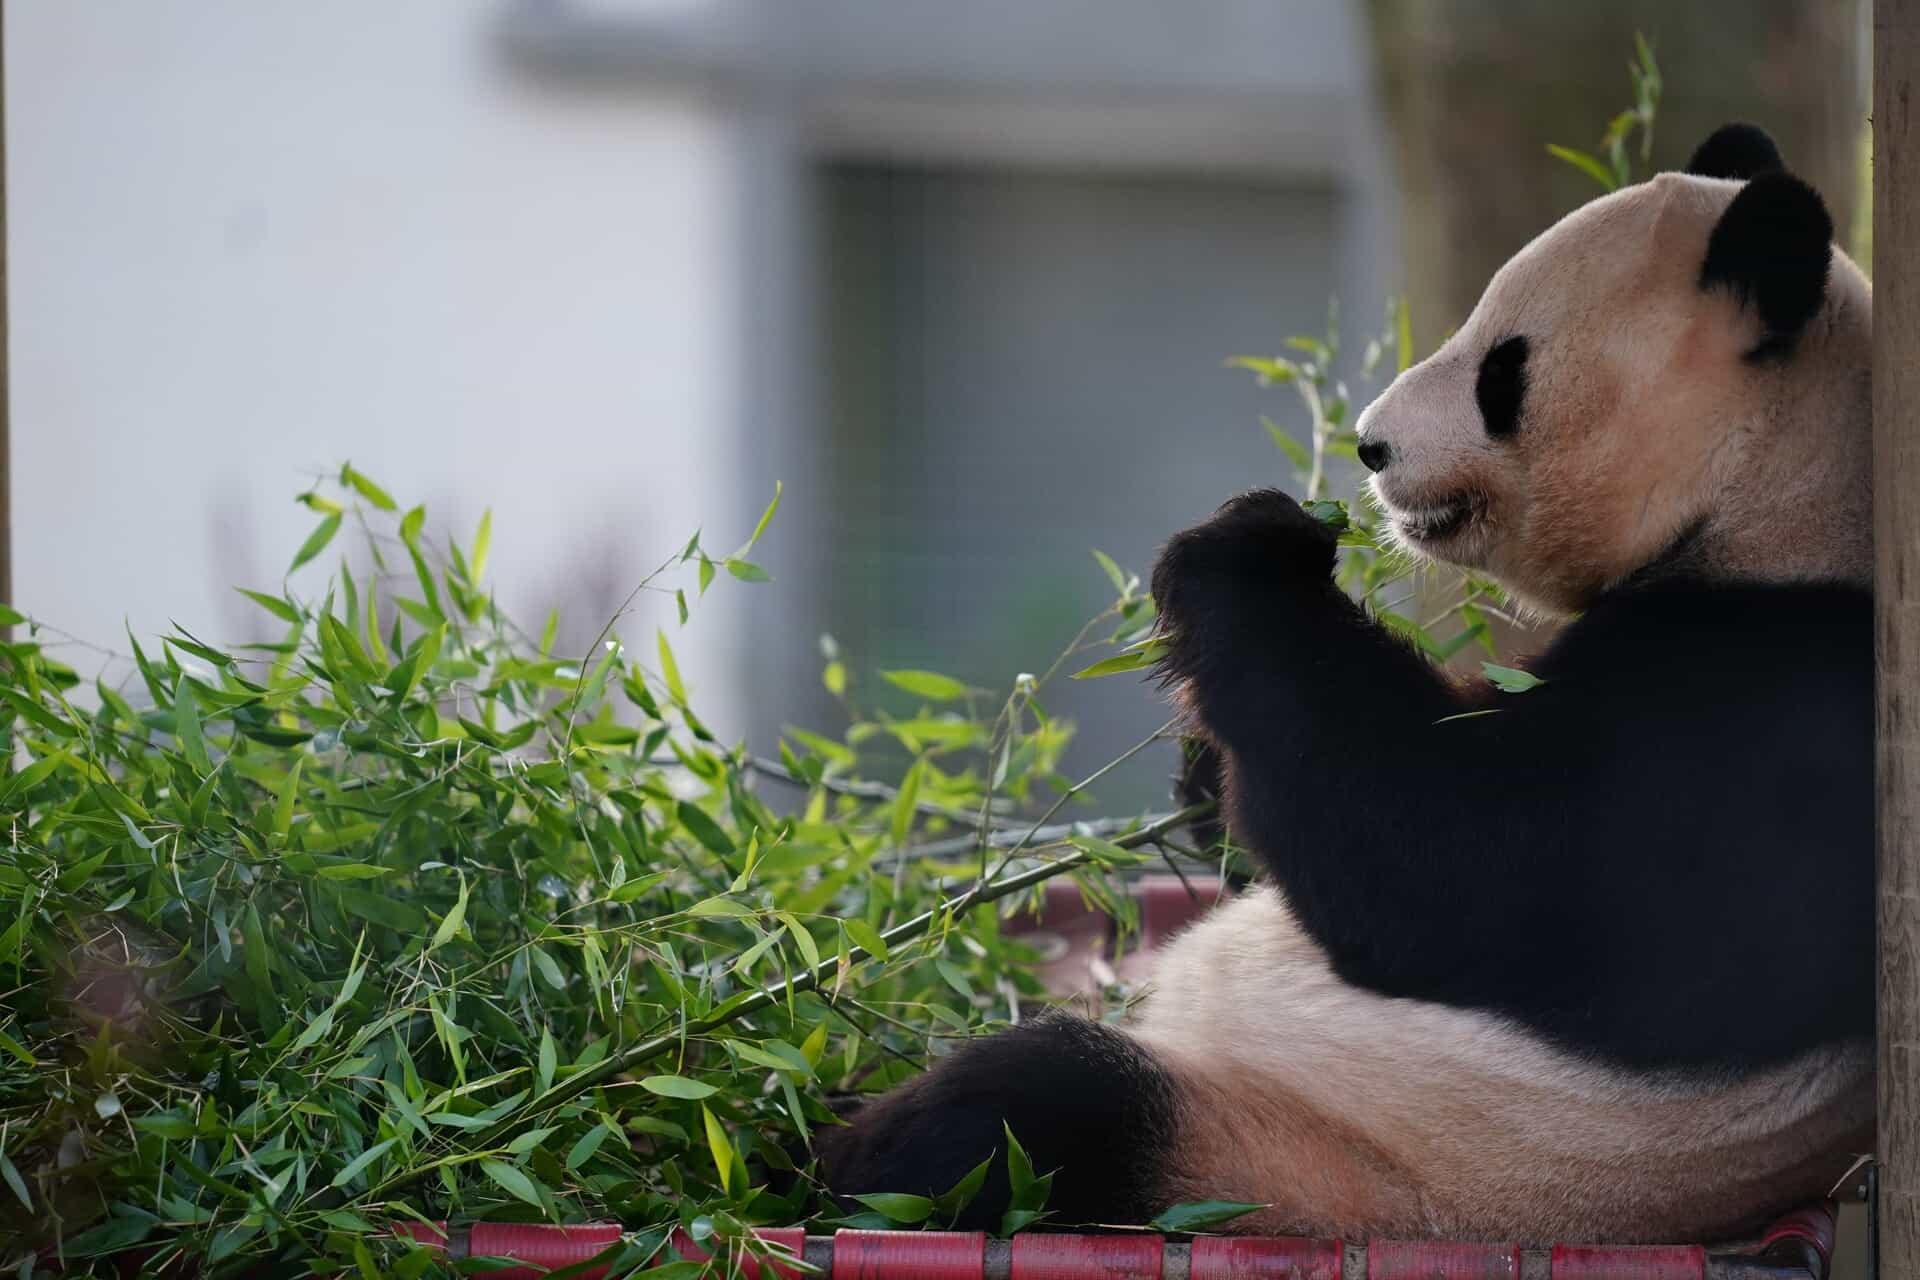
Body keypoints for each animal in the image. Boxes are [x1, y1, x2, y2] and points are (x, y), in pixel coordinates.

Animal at [817, 124, 1866, 1243]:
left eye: (1504, 369)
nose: (1369, 444)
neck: (1776, 494)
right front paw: (1198, 772)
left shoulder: (1758, 710)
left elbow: (1446, 866)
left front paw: (1251, 551)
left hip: (1307, 1165)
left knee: (1031, 1114)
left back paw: (817, 1149)